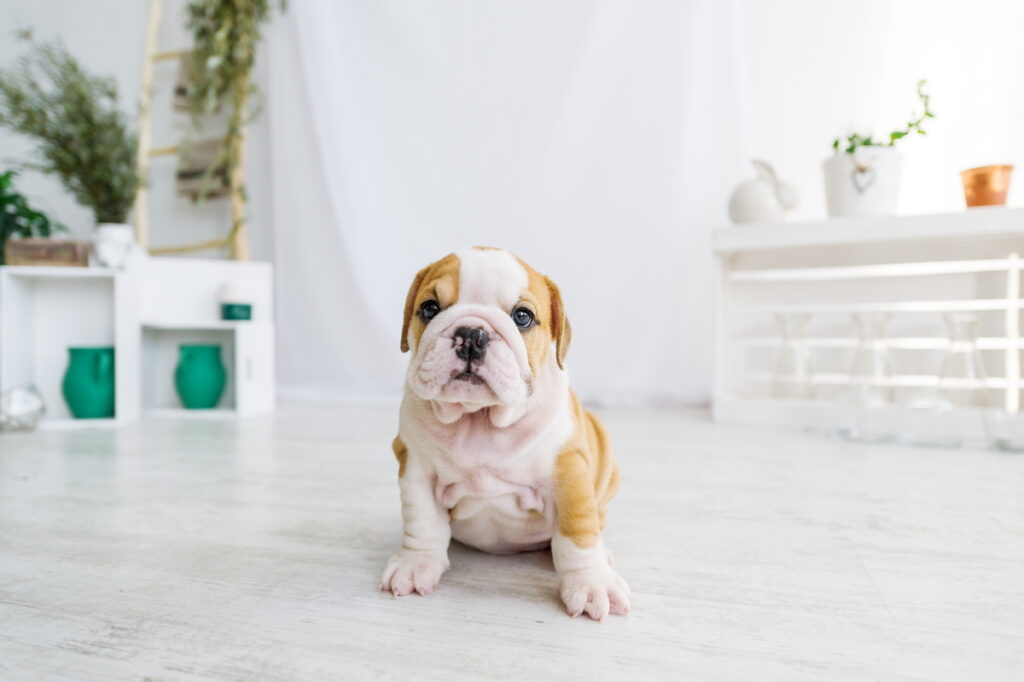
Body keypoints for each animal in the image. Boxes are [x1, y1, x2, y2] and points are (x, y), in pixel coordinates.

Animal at [380, 246, 626, 618]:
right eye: (430, 308)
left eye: (522, 317)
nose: (472, 334)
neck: (479, 419)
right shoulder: (416, 470)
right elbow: (422, 521)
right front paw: (416, 564)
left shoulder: (569, 473)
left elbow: (577, 532)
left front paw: (590, 581)